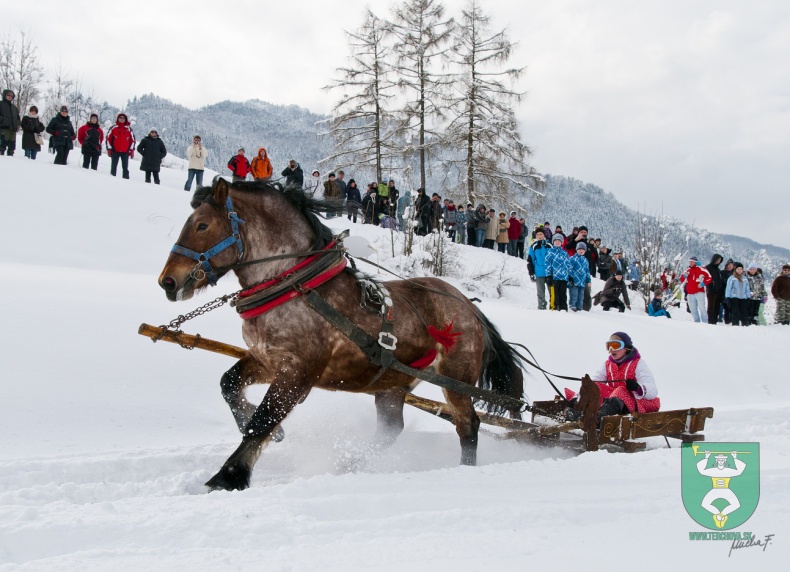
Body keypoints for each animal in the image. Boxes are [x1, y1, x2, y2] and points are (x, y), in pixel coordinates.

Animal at [157, 179, 524, 492]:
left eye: (202, 225)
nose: (168, 282)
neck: (294, 285)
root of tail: (469, 306)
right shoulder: (267, 360)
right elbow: (230, 384)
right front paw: (268, 431)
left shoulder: (298, 372)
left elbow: (262, 420)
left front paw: (228, 476)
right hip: (393, 383)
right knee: (391, 430)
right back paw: (352, 464)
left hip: (455, 378)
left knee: (468, 425)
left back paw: (464, 470)